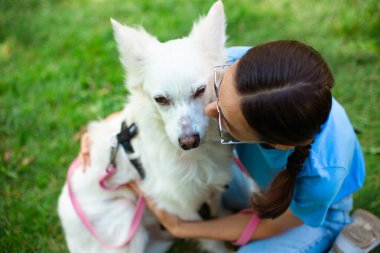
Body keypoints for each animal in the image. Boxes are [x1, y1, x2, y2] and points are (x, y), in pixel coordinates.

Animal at [58, 0, 232, 252]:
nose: (188, 141)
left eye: (200, 91)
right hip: (126, 219)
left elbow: (218, 217)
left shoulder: (213, 188)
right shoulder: (181, 208)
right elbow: (211, 238)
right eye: (160, 99)